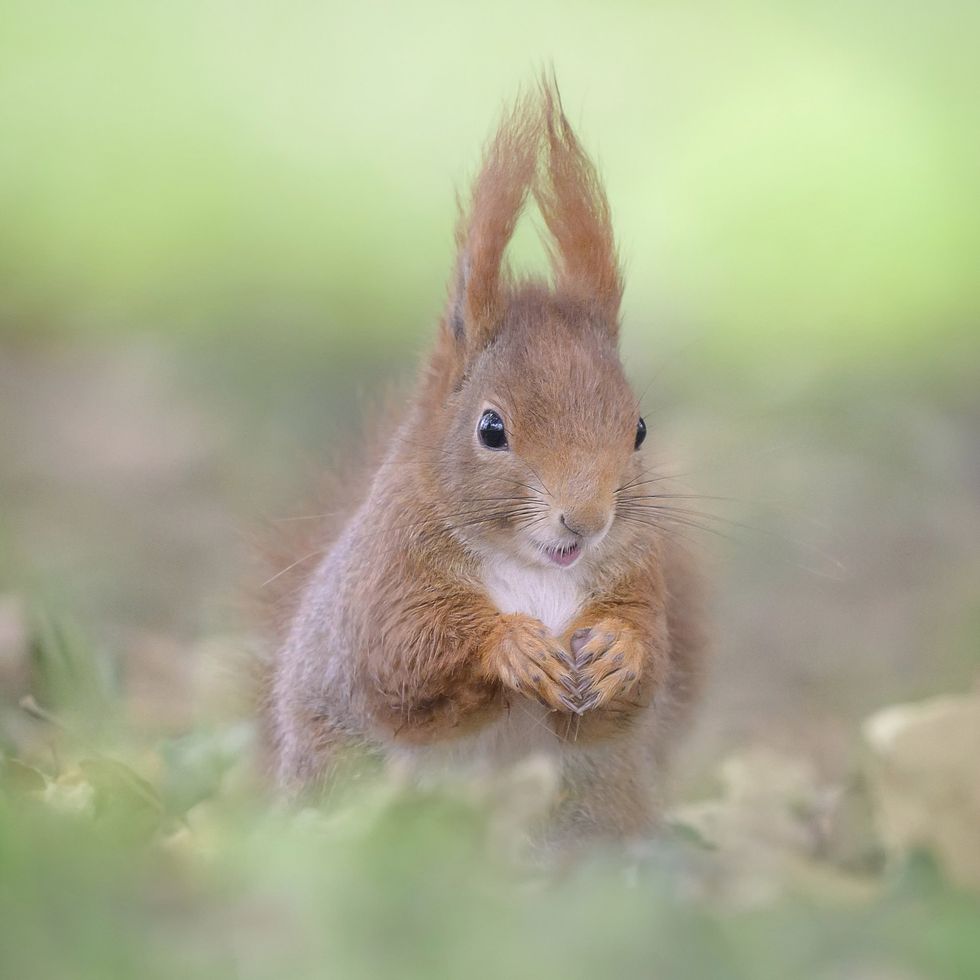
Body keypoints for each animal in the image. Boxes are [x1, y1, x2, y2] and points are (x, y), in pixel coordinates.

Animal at [268, 80, 707, 840]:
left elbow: (636, 678)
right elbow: (401, 661)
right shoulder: (388, 577)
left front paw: (621, 649)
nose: (585, 519)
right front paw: (513, 648)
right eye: (492, 428)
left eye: (640, 429)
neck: (534, 570)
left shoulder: (639, 577)